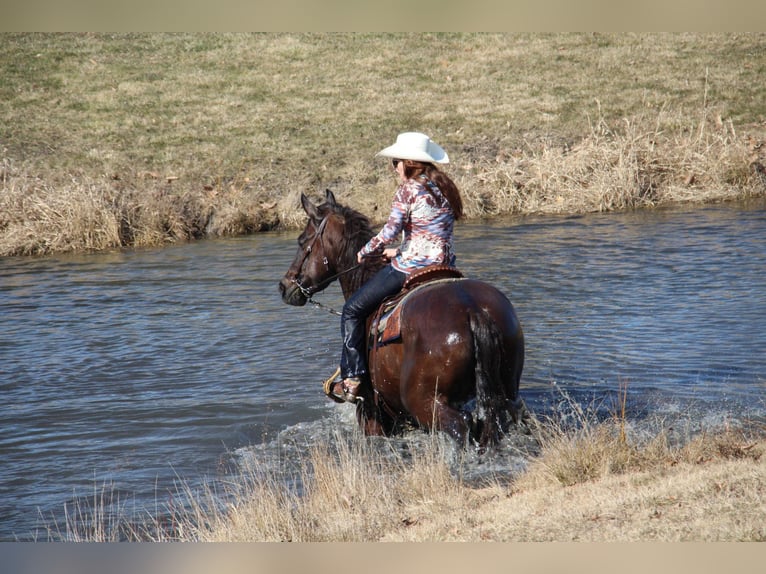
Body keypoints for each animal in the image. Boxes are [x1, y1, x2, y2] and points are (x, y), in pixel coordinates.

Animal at [282, 190, 528, 450]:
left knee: (459, 426)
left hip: (425, 402)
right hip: (507, 391)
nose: (284, 286)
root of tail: (474, 311)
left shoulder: (370, 411)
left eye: (301, 241)